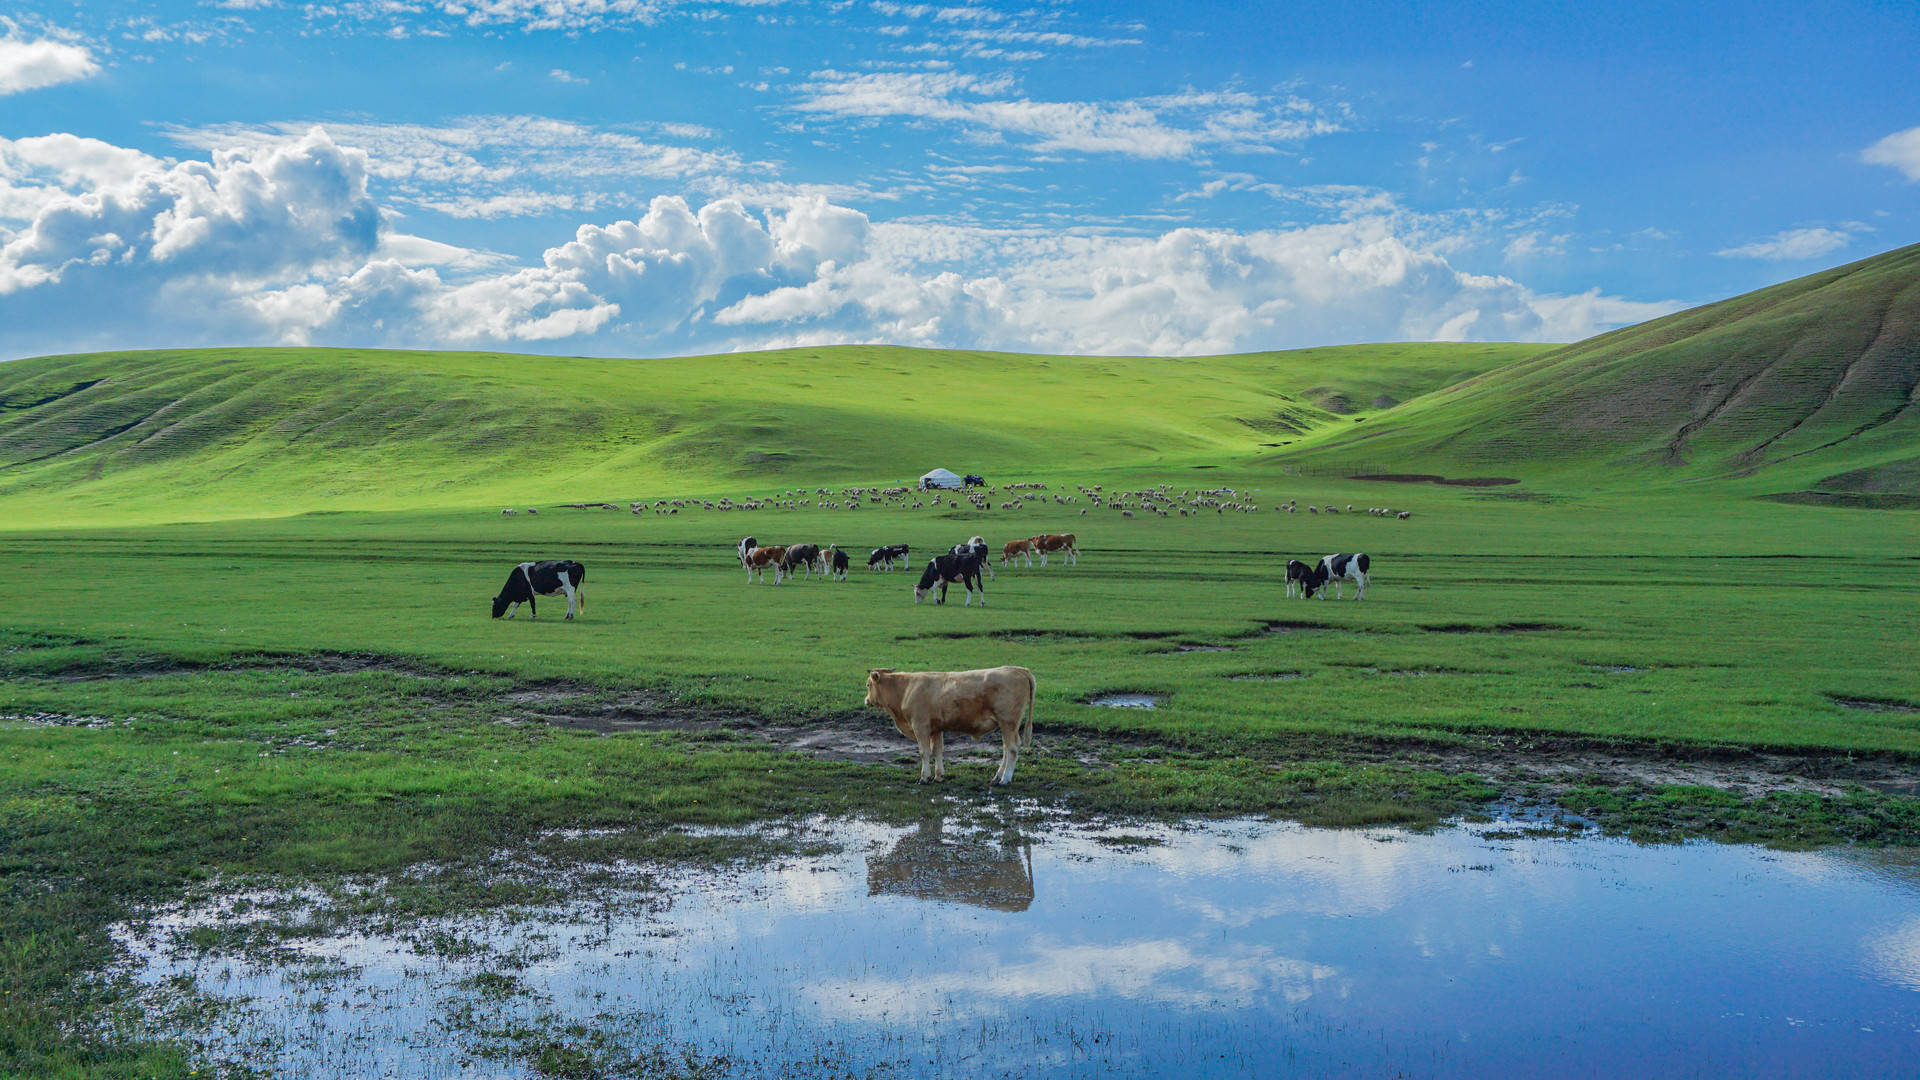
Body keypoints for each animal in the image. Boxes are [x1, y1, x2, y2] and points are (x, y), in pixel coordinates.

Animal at [864, 664, 1036, 780]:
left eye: (868, 685)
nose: (866, 700)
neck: (906, 689)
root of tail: (1019, 669)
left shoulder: (920, 726)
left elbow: (924, 752)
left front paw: (924, 777)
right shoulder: (936, 728)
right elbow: (938, 750)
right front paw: (939, 776)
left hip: (1008, 722)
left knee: (1011, 749)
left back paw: (1005, 779)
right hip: (1007, 725)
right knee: (1007, 748)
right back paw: (997, 777)